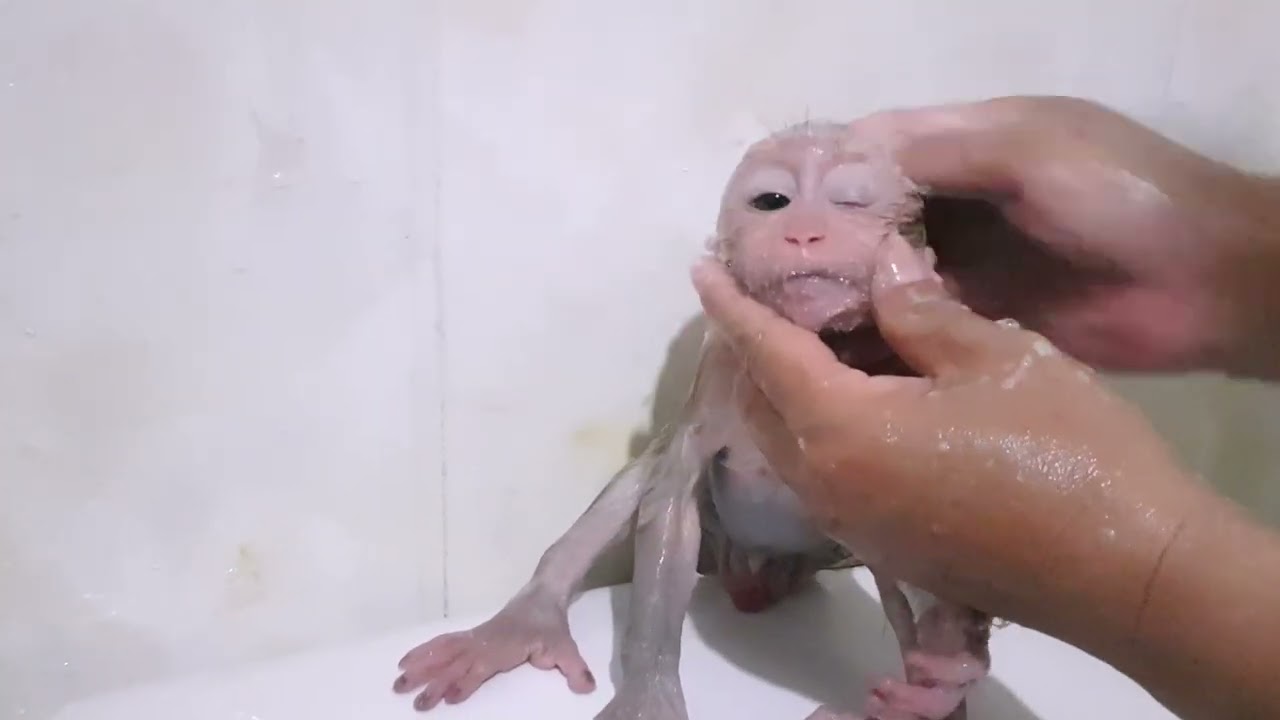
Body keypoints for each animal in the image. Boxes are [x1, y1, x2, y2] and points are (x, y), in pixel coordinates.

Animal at [391, 121, 993, 720]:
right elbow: (672, 504)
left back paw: (930, 690)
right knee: (648, 476)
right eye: (772, 201)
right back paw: (525, 620)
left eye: (851, 201)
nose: (803, 233)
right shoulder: (721, 363)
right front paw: (647, 694)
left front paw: (950, 664)